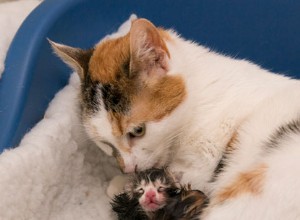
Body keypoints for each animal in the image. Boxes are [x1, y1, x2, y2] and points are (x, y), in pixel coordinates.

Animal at [49, 18, 300, 219]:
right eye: (105, 144)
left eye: (138, 131)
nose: (127, 169)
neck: (200, 99)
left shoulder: (201, 160)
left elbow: (173, 173)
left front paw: (123, 184)